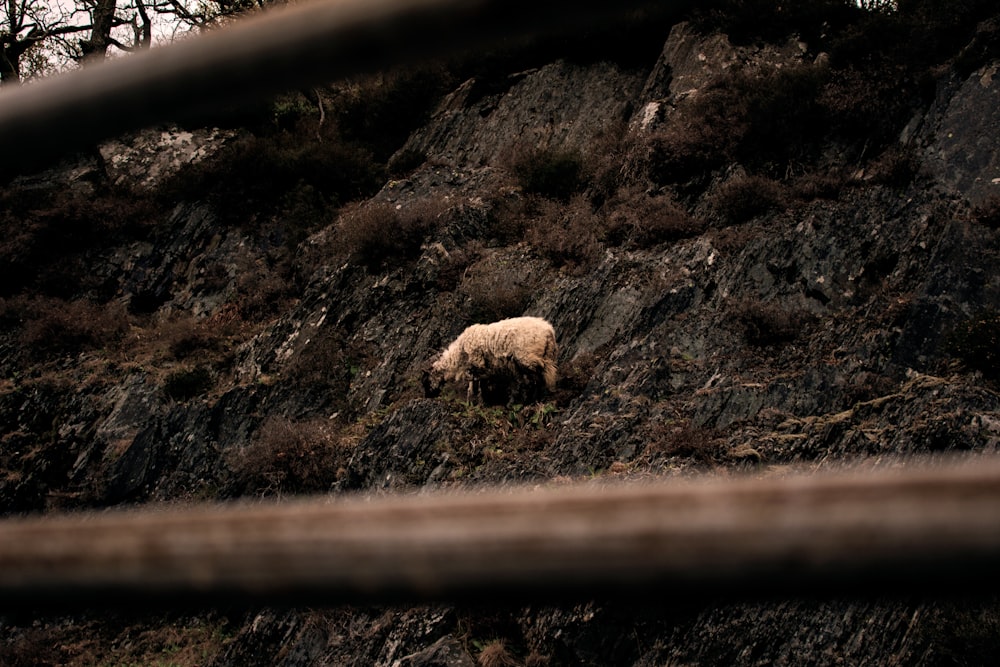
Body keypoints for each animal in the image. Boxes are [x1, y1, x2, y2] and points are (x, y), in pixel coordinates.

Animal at [422, 318, 560, 404]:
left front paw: (475, 401)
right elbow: (478, 384)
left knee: (537, 378)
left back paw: (533, 400)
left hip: (528, 357)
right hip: (546, 357)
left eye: (426, 379)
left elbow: (475, 385)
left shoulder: (477, 364)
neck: (459, 355)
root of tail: (549, 331)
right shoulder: (482, 369)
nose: (428, 396)